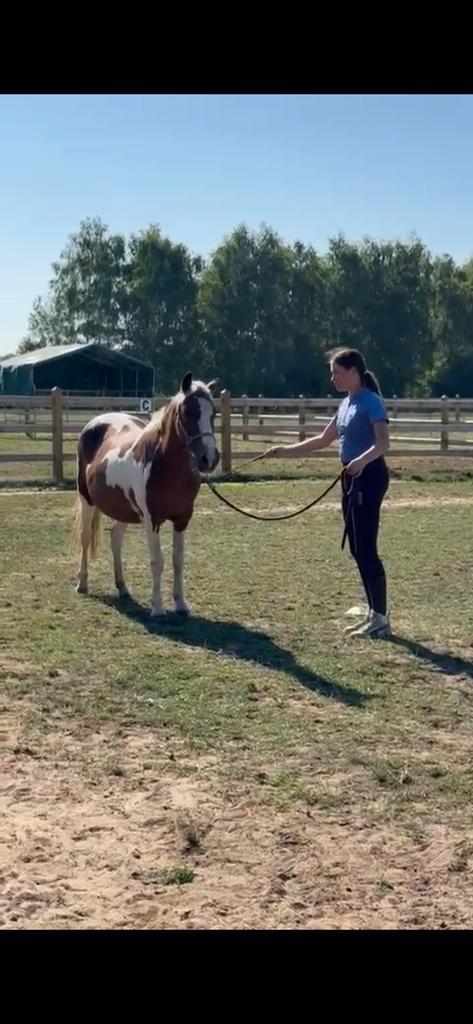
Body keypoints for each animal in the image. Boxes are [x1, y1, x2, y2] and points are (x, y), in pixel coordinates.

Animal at [72, 372, 220, 617]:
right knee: (85, 538)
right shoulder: (152, 520)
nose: (209, 458)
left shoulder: (182, 519)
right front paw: (157, 608)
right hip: (87, 499)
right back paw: (82, 584)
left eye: (213, 413)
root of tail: (95, 423)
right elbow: (157, 561)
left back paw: (122, 587)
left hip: (122, 509)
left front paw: (180, 604)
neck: (165, 467)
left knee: (115, 539)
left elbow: (178, 560)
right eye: (188, 412)